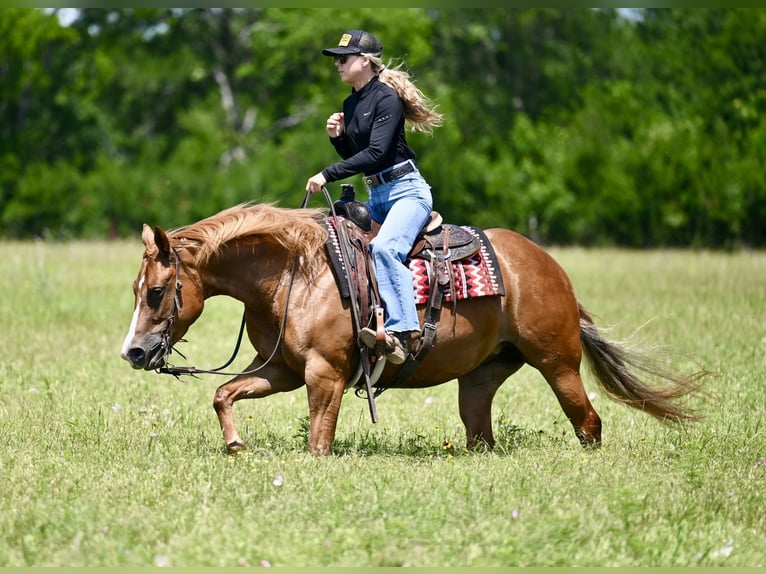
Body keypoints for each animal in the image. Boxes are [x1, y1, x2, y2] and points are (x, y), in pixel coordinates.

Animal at [120, 202, 705, 455]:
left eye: (156, 292)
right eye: (135, 289)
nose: (133, 353)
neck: (295, 272)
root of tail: (550, 269)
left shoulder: (325, 375)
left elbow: (318, 441)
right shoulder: (283, 370)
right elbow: (224, 394)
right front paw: (236, 445)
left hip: (558, 363)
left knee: (589, 423)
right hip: (482, 377)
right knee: (480, 433)